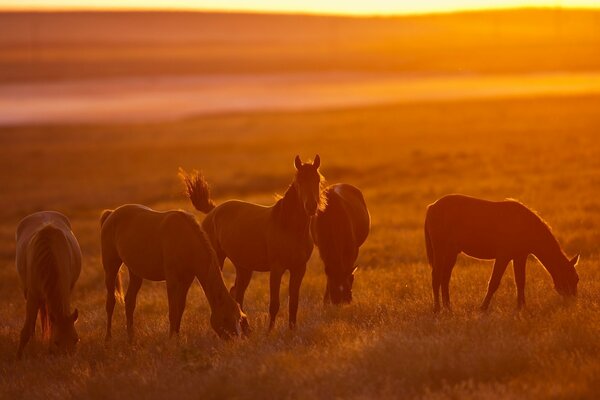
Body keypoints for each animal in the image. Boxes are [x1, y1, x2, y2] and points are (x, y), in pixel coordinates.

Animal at [15, 211, 81, 358]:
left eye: (75, 340)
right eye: (57, 342)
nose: (67, 359)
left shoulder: (66, 290)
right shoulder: (32, 295)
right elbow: (26, 329)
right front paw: (19, 357)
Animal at [99, 205, 247, 342]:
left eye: (239, 319)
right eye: (225, 318)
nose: (235, 341)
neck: (185, 240)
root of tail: (111, 214)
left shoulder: (186, 280)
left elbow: (180, 308)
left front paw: (177, 336)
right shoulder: (172, 281)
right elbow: (173, 310)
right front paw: (171, 339)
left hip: (135, 272)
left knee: (130, 301)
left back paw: (131, 338)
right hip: (111, 268)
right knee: (110, 302)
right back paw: (108, 338)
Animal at [180, 155, 326, 330]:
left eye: (317, 179)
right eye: (299, 181)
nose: (311, 206)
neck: (289, 228)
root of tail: (213, 211)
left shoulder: (299, 268)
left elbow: (294, 303)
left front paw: (292, 330)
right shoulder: (277, 269)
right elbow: (274, 304)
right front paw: (269, 332)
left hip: (244, 268)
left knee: (237, 293)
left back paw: (245, 327)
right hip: (220, 260)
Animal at [424, 194, 580, 312]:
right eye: (572, 278)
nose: (573, 303)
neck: (526, 226)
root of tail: (432, 207)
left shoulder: (520, 256)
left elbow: (520, 281)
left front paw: (521, 307)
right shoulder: (503, 256)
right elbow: (494, 282)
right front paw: (483, 308)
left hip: (452, 252)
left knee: (445, 277)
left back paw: (448, 308)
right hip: (440, 249)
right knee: (436, 276)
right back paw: (437, 309)